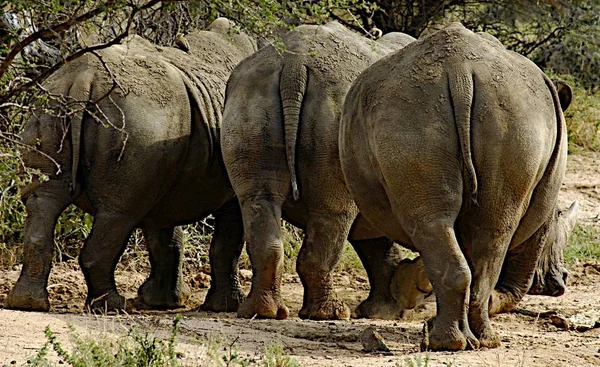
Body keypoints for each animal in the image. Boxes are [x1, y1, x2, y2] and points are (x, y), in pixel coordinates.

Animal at [338, 22, 576, 350]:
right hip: (495, 116)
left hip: (480, 114)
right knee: (479, 233)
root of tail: (460, 73)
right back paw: (466, 341)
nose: (560, 282)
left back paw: (461, 341)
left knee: (470, 229)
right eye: (555, 222)